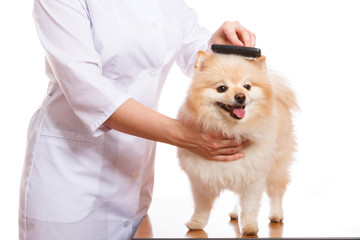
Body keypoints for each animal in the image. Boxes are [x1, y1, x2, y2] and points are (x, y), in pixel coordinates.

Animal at [177, 49, 298, 235]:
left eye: (247, 86)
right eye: (222, 88)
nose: (240, 96)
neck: (231, 129)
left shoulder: (253, 177)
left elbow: (249, 206)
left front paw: (249, 227)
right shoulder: (202, 178)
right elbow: (202, 206)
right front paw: (197, 223)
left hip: (276, 167)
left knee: (276, 192)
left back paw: (276, 214)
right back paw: (235, 213)